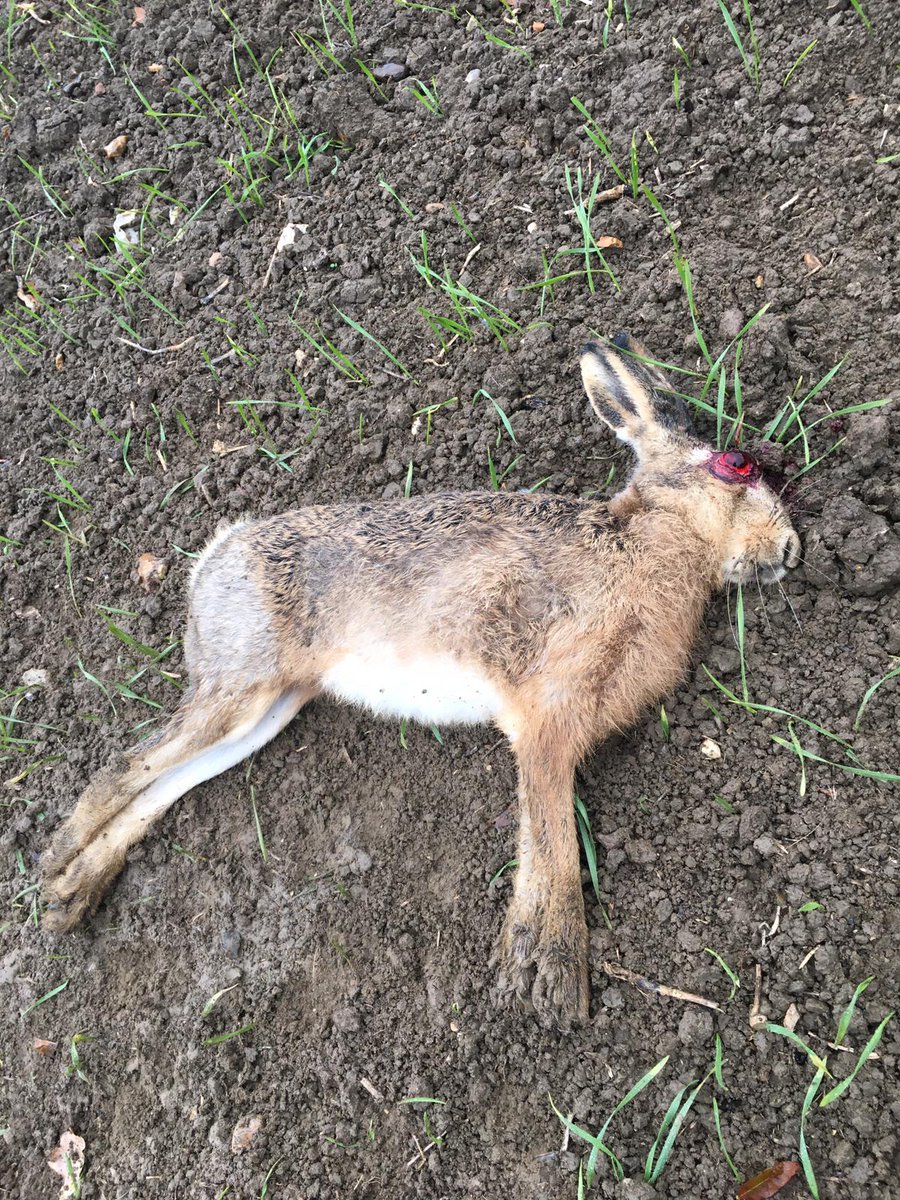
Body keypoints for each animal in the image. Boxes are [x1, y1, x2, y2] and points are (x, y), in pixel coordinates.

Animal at [42, 333, 800, 1029]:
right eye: (736, 465)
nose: (791, 550)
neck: (651, 540)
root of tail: (215, 557)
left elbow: (540, 835)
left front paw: (530, 966)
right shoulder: (547, 718)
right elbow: (553, 840)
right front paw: (552, 982)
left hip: (271, 710)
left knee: (164, 783)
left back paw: (70, 891)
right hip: (242, 684)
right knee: (126, 767)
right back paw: (57, 869)